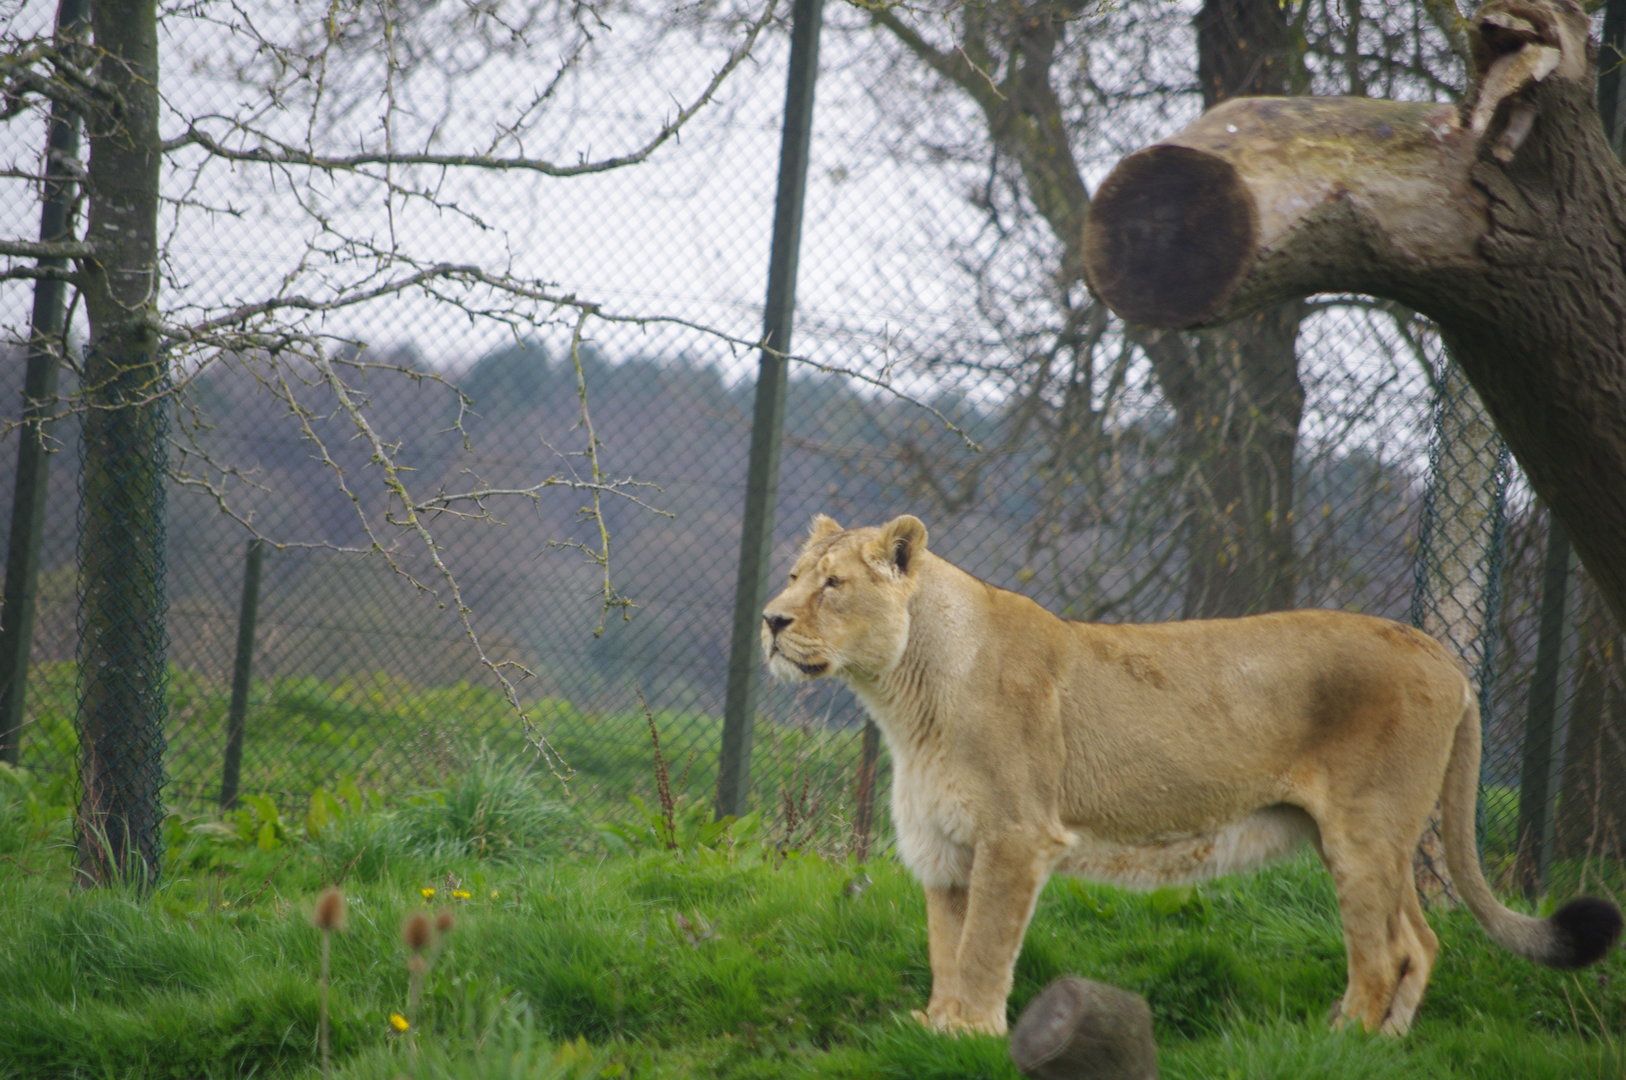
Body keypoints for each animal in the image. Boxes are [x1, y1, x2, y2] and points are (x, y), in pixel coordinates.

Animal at [761, 513, 1621, 1036]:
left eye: (832, 584)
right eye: (794, 573)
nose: (770, 619)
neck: (904, 697)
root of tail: (1439, 650)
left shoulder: (1016, 835)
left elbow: (982, 948)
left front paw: (969, 1031)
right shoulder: (946, 848)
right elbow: (948, 947)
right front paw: (938, 1027)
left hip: (1365, 831)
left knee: (1381, 955)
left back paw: (1342, 1045)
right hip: (1376, 836)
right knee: (1419, 941)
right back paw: (1388, 1048)